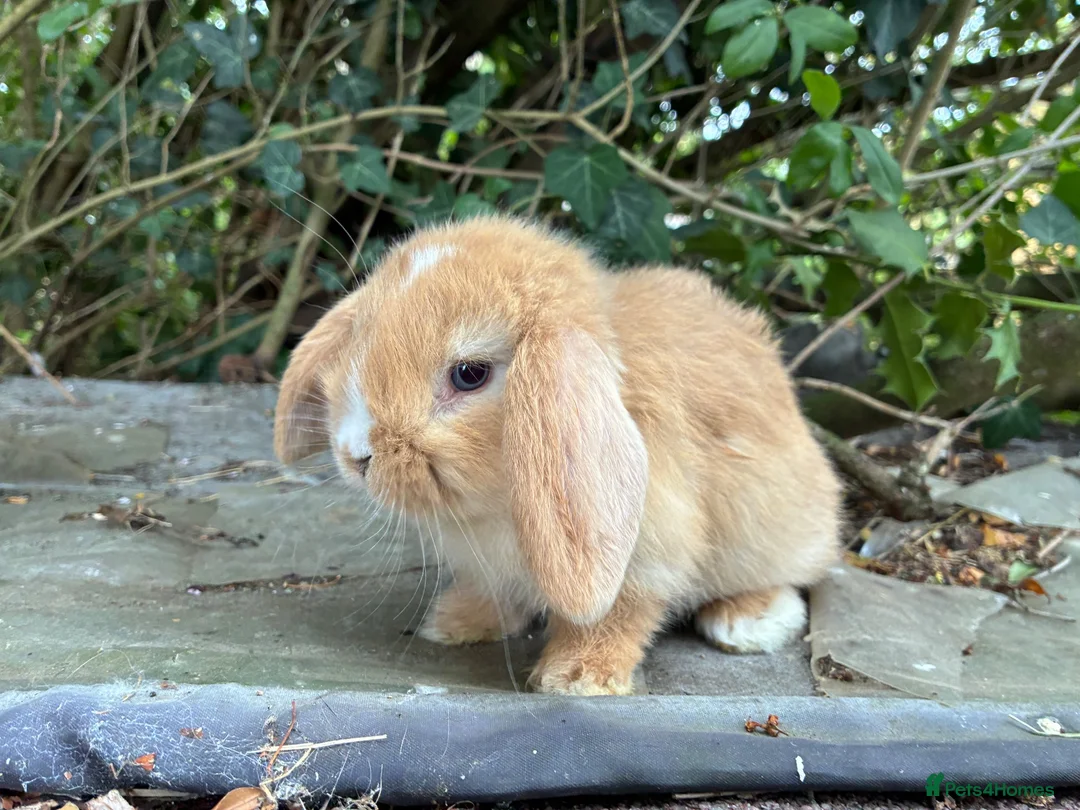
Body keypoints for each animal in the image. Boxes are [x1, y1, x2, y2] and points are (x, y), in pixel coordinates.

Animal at [273, 215, 842, 696]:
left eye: (469, 374)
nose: (356, 454)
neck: (498, 504)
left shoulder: (648, 555)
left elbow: (618, 615)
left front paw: (576, 677)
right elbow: (496, 593)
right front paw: (457, 623)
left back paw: (747, 621)